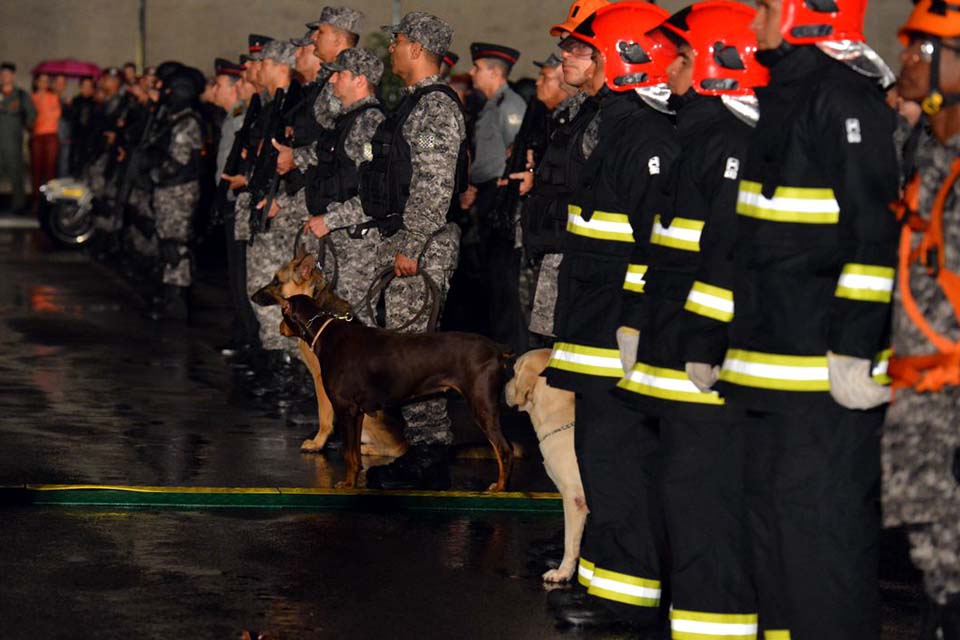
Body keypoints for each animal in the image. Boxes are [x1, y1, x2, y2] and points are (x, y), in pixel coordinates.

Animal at [251, 288, 512, 492]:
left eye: (282, 312)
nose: (279, 328)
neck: (325, 332)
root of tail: (497, 349)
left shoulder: (345, 409)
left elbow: (348, 454)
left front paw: (347, 485)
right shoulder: (357, 412)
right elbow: (355, 455)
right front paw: (354, 480)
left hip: (482, 405)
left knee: (504, 449)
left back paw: (500, 487)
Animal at [253, 251, 406, 460]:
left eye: (276, 281)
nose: (252, 297)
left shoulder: (320, 379)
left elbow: (324, 415)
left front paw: (318, 443)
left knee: (394, 449)